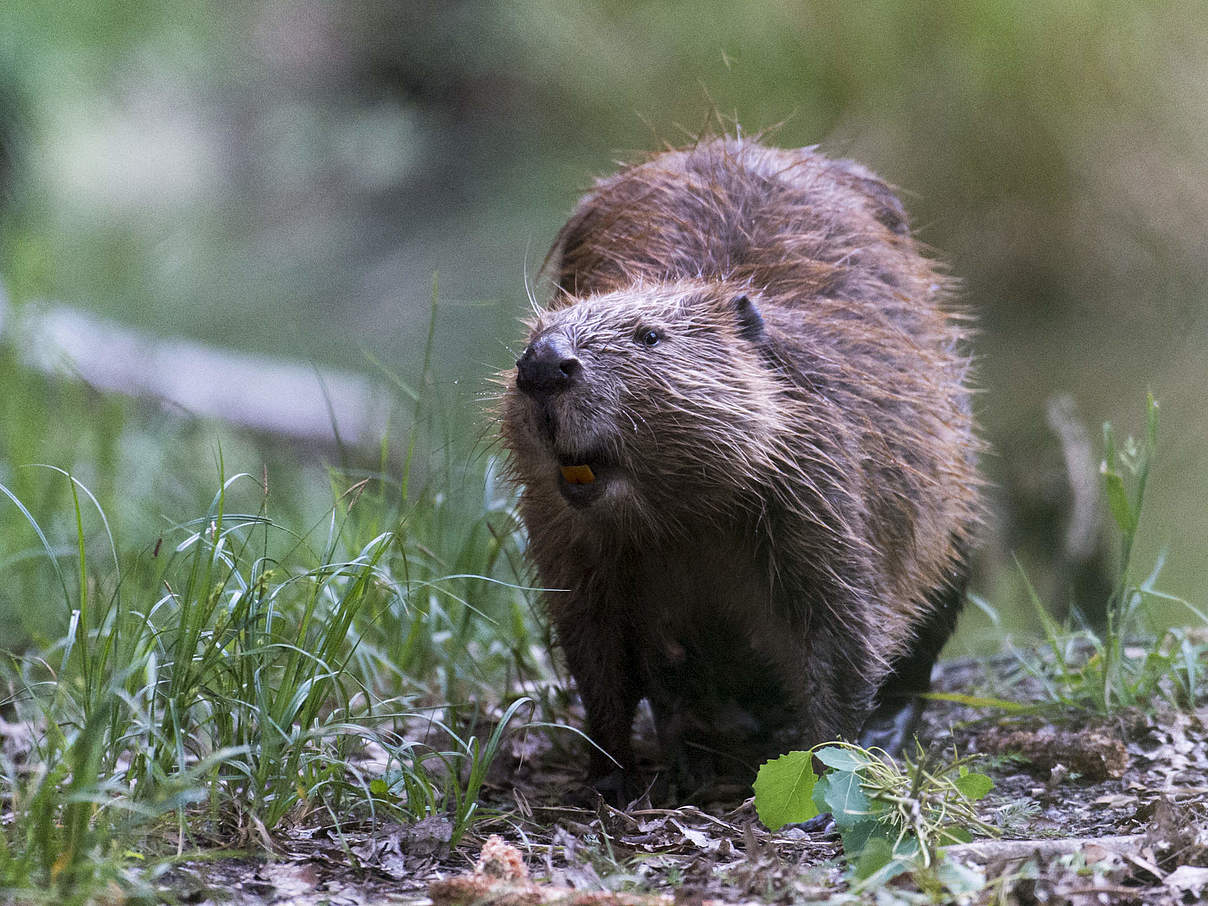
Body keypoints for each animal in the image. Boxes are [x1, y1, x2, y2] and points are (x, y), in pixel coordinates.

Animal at [500, 136, 980, 802]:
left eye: (650, 336)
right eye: (536, 335)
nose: (544, 365)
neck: (677, 521)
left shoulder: (818, 482)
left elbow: (840, 631)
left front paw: (825, 771)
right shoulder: (569, 541)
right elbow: (596, 650)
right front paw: (609, 776)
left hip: (957, 506)